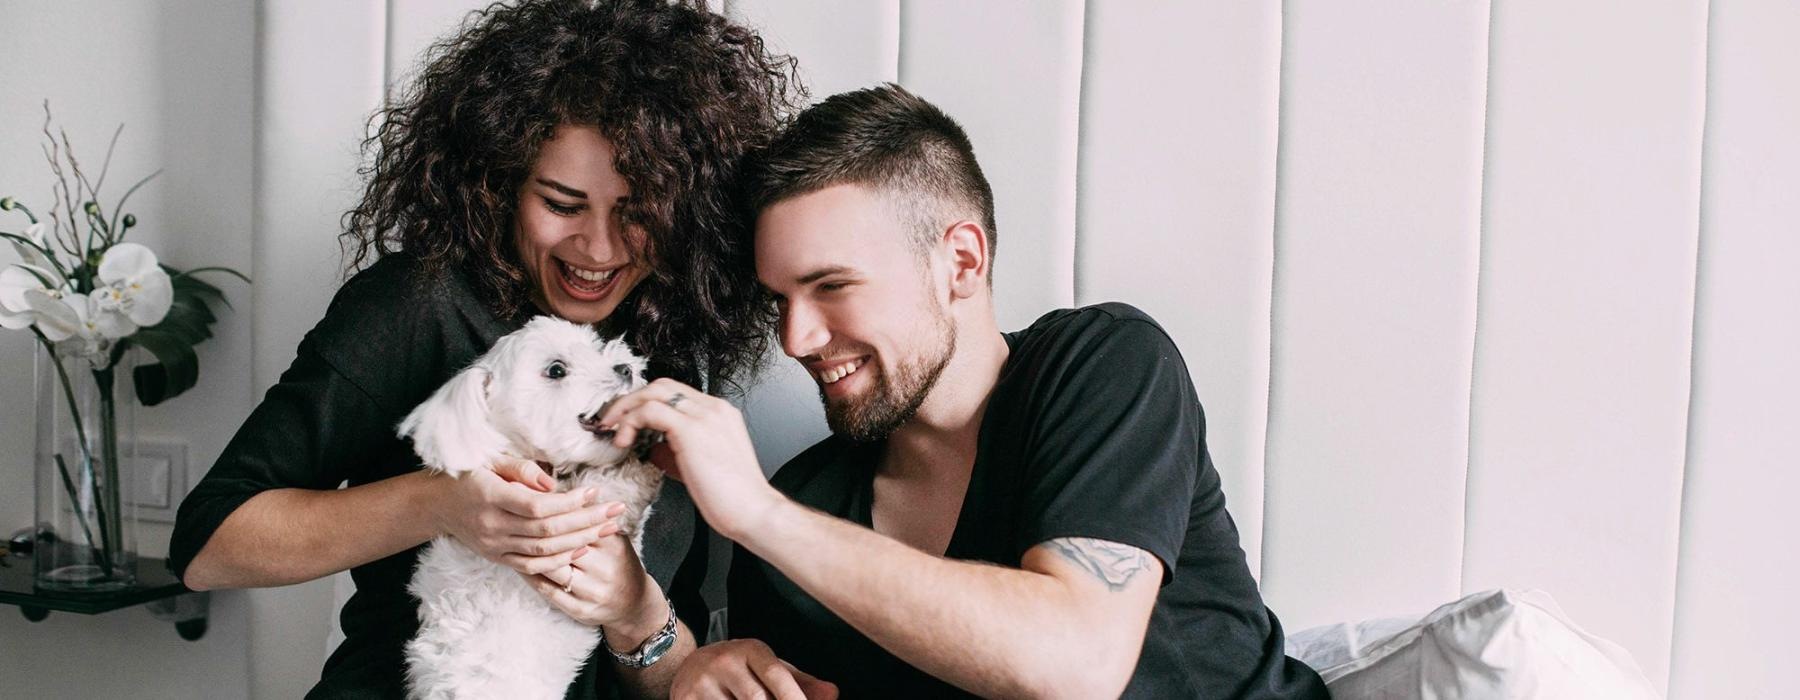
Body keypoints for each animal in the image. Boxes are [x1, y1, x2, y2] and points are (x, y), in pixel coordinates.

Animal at [397, 318, 666, 698]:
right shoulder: (577, 516)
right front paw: (641, 461)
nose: (625, 367)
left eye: (593, 346)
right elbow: (615, 490)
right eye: (556, 370)